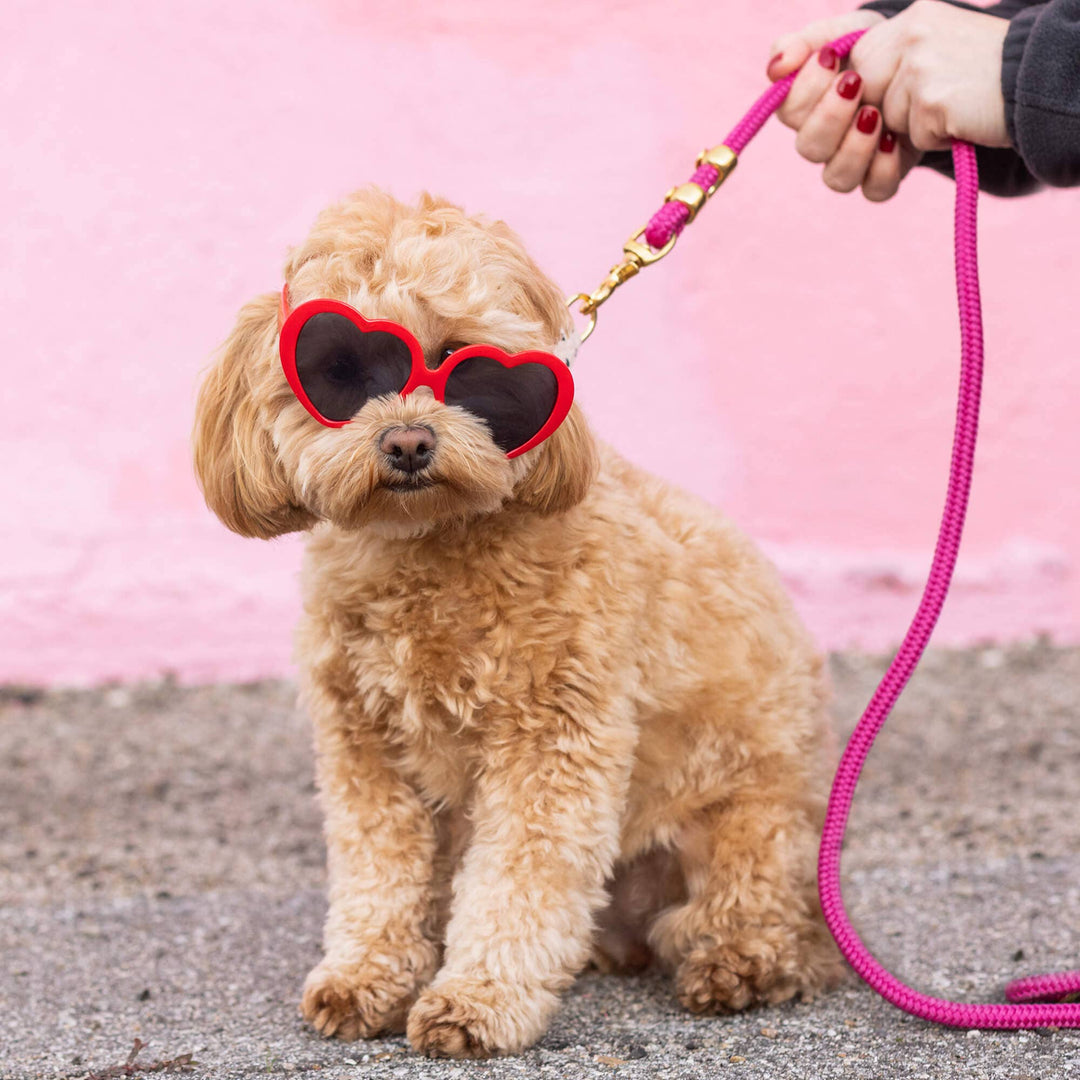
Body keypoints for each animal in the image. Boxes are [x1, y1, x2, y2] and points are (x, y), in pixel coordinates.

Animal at [194, 190, 842, 1058]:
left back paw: (741, 960)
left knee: (767, 912)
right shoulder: (367, 752)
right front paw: (366, 977)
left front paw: (478, 1000)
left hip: (752, 816)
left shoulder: (552, 742)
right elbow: (379, 872)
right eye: (341, 372)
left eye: (467, 366)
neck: (428, 549)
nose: (409, 441)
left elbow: (519, 880)